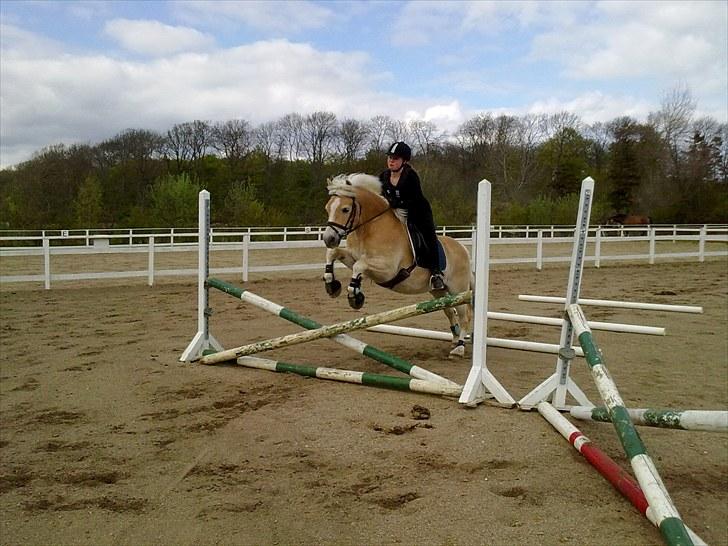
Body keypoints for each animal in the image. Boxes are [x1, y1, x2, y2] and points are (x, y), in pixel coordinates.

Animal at [322, 172, 472, 354]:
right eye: (328, 208)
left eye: (345, 209)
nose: (328, 239)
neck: (370, 228)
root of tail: (463, 248)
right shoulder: (352, 257)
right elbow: (333, 254)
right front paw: (332, 285)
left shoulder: (387, 270)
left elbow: (360, 266)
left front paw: (355, 295)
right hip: (439, 292)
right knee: (450, 312)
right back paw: (455, 341)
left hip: (458, 289)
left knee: (464, 315)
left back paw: (460, 347)